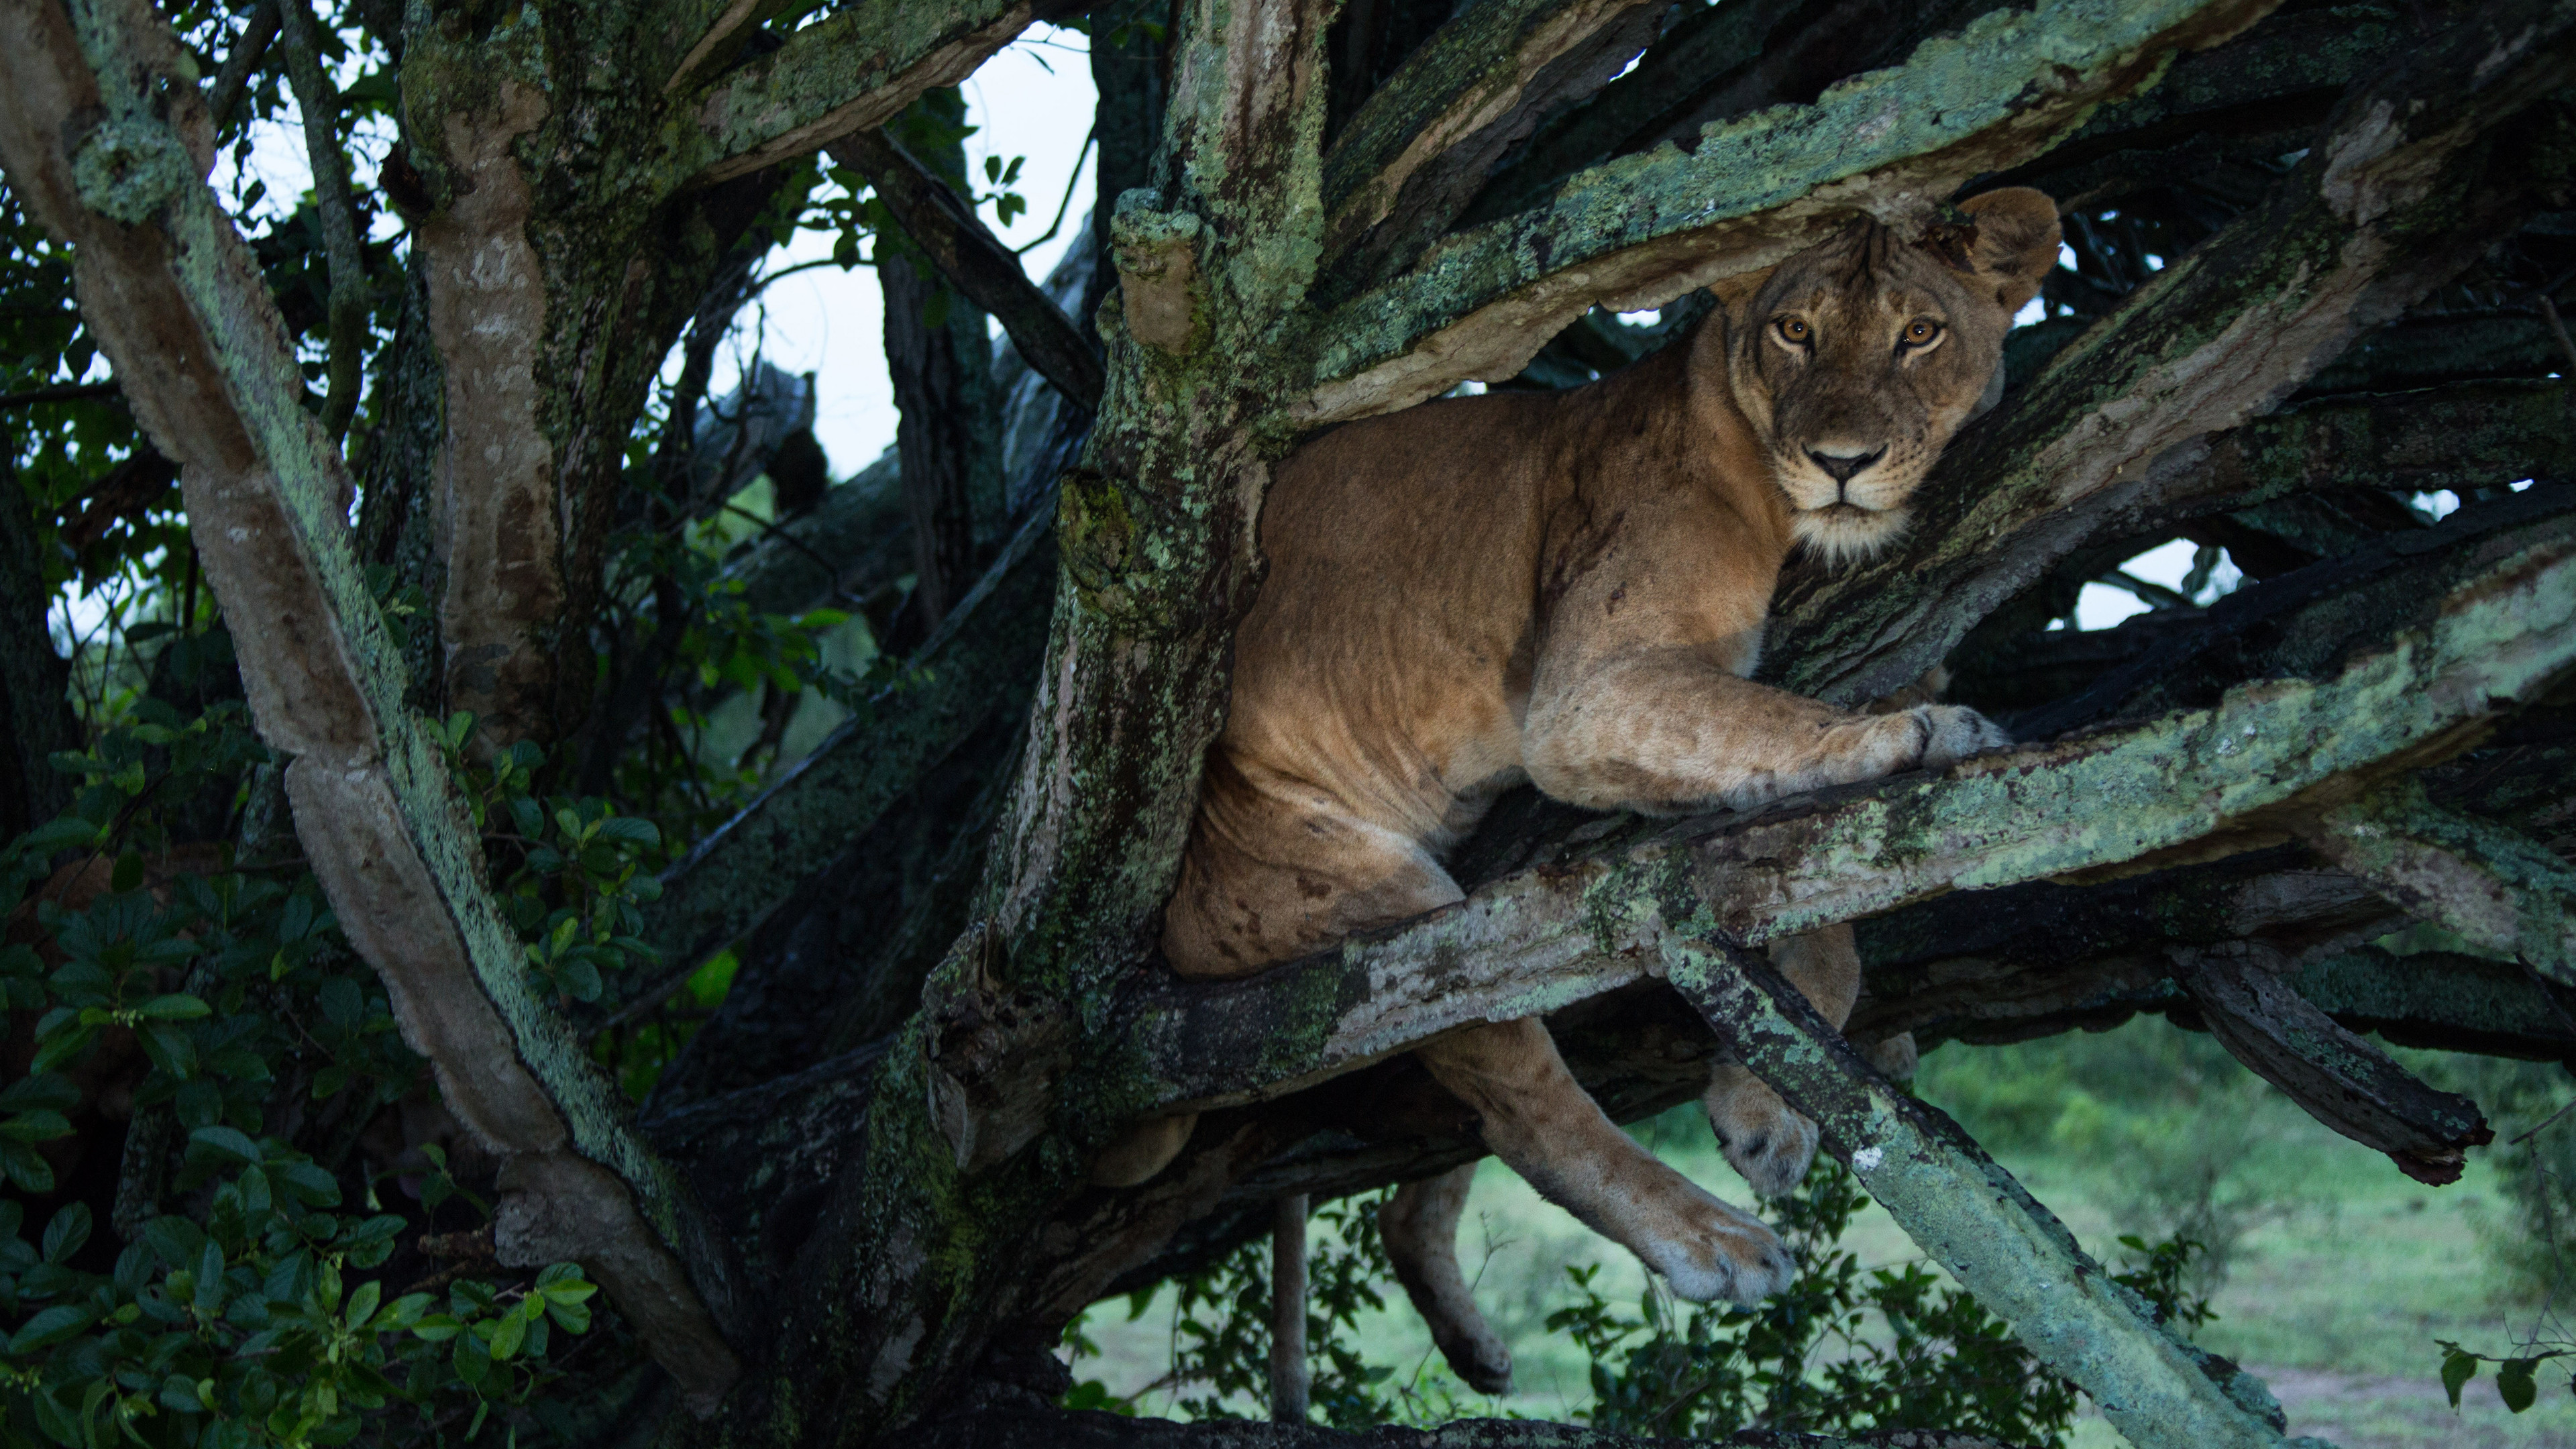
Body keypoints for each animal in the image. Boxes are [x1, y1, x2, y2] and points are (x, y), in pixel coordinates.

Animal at [1117, 189, 2061, 1392]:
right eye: (1797, 332)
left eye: (1921, 334)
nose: (1842, 460)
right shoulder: (1588, 701)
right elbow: (1791, 724)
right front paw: (1926, 734)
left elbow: (1828, 926)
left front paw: (1770, 1105)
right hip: (1384, 912)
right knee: (1523, 1103)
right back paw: (1709, 1241)